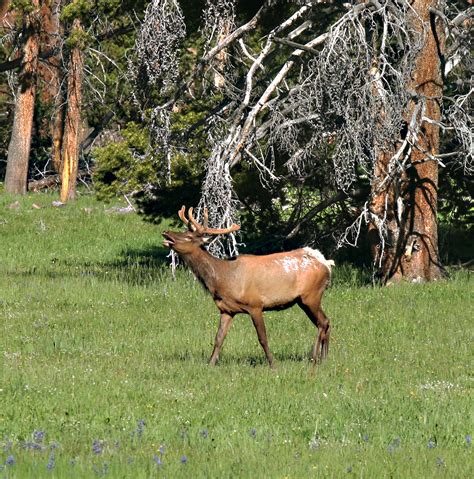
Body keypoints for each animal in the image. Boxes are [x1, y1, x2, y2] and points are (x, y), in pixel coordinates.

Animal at [163, 205, 334, 368]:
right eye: (184, 231)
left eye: (188, 237)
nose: (165, 232)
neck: (223, 279)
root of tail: (326, 263)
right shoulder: (226, 310)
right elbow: (219, 338)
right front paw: (210, 364)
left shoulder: (255, 305)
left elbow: (262, 338)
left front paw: (273, 365)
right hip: (303, 300)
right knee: (326, 322)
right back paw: (324, 359)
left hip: (311, 295)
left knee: (323, 322)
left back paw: (314, 357)